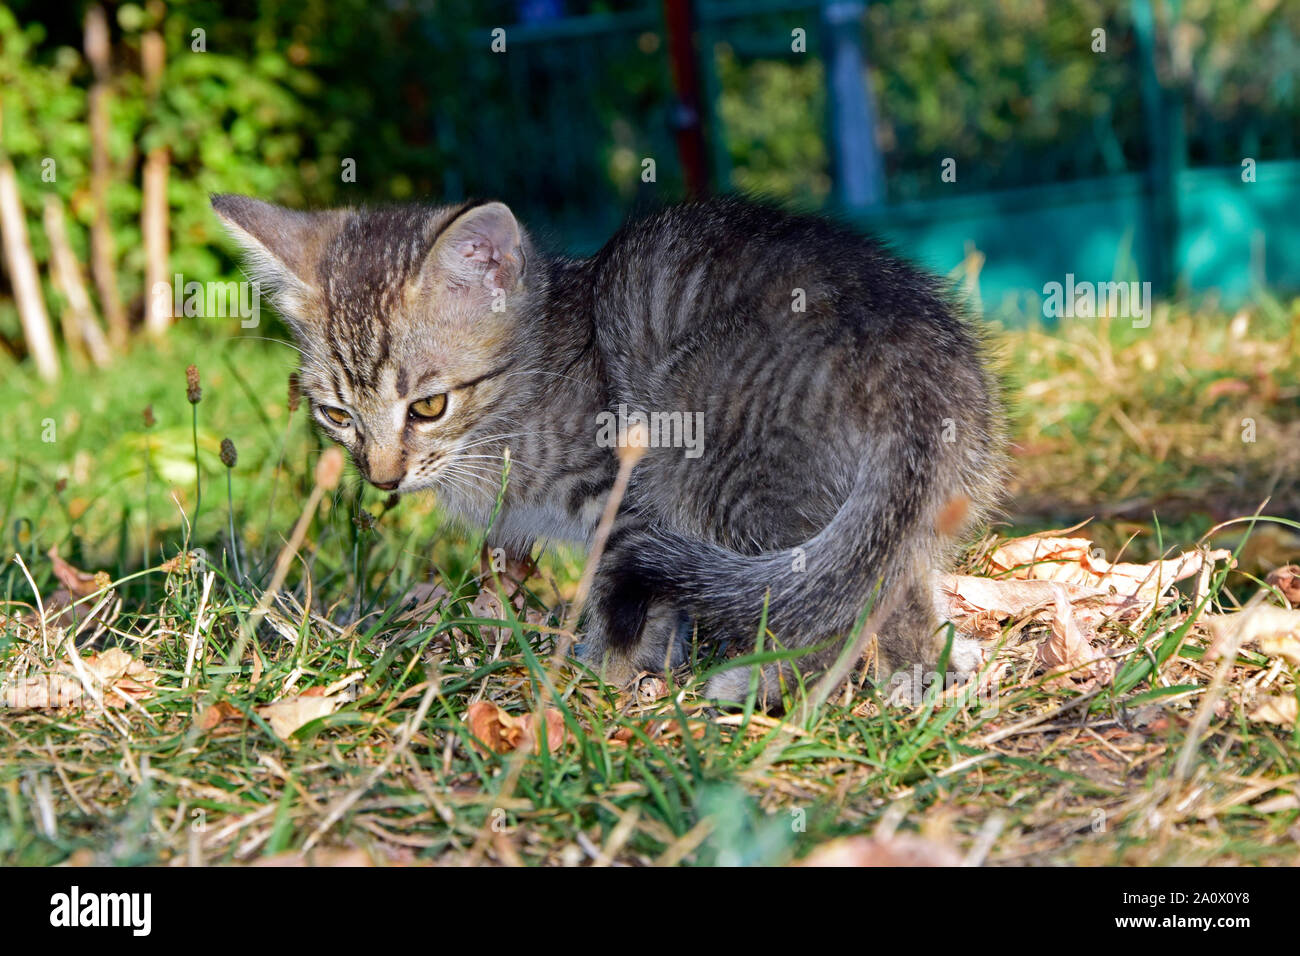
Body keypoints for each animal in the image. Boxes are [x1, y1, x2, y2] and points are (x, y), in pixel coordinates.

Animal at [215, 195, 1003, 702]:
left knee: (825, 596)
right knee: (883, 572)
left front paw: (604, 679)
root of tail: (917, 355)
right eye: (337, 414)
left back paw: (766, 683)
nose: (382, 478)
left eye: (428, 406)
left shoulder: (623, 500)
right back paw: (921, 673)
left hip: (699, 445)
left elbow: (620, 601)